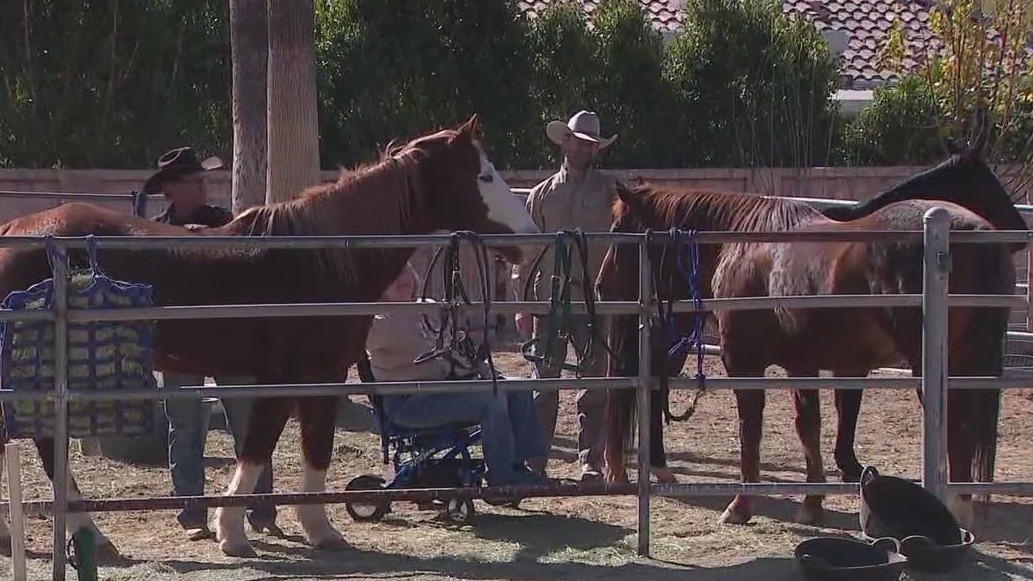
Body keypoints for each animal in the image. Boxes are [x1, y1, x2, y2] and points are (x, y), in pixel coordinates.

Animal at [0, 114, 539, 557]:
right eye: (483, 175)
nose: (531, 238)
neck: (322, 261)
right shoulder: (296, 377)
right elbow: (267, 447)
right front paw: (240, 532)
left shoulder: (313, 378)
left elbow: (300, 447)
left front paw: (306, 529)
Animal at [597, 153, 1019, 529]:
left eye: (619, 229)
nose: (602, 287)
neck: (744, 242)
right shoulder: (802, 363)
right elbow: (809, 428)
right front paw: (812, 504)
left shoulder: (746, 364)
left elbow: (751, 431)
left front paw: (741, 505)